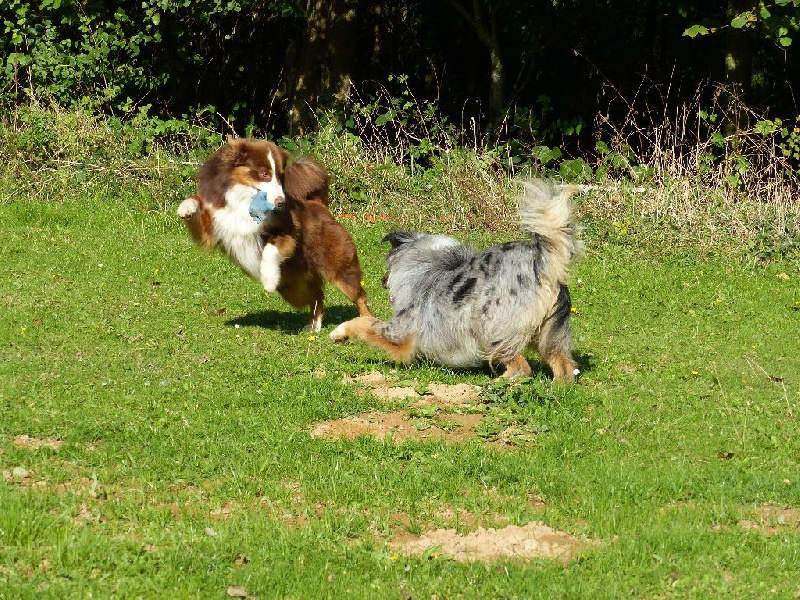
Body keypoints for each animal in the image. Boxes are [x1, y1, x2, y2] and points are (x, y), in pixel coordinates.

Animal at [178, 137, 372, 330]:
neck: (244, 201)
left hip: (336, 266)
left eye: (280, 177)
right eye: (265, 174)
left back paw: (366, 323)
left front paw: (269, 279)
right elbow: (198, 207)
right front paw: (185, 207)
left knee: (358, 294)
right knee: (317, 294)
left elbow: (270, 249)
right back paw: (313, 326)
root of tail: (320, 205)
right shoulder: (215, 227)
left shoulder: (288, 231)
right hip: (293, 288)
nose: (281, 202)